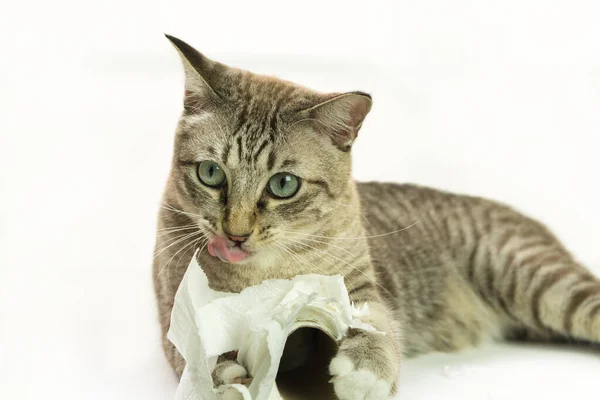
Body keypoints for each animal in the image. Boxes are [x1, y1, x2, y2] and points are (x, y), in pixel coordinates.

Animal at [151, 35, 600, 400]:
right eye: (211, 173)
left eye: (283, 184)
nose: (236, 233)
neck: (265, 271)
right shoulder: (178, 315)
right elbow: (198, 359)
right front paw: (227, 380)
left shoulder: (360, 287)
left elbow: (377, 326)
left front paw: (364, 371)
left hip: (539, 281)